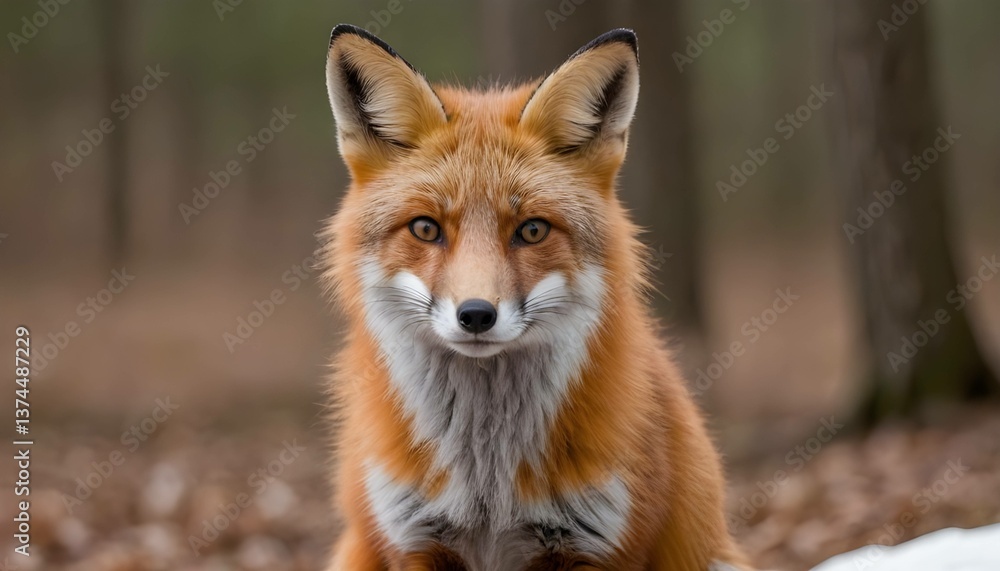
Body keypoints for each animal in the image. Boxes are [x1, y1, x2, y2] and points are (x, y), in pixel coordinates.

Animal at [320, 23, 750, 571]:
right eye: (425, 228)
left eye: (531, 230)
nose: (476, 315)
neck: (487, 484)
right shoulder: (413, 543)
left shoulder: (596, 545)